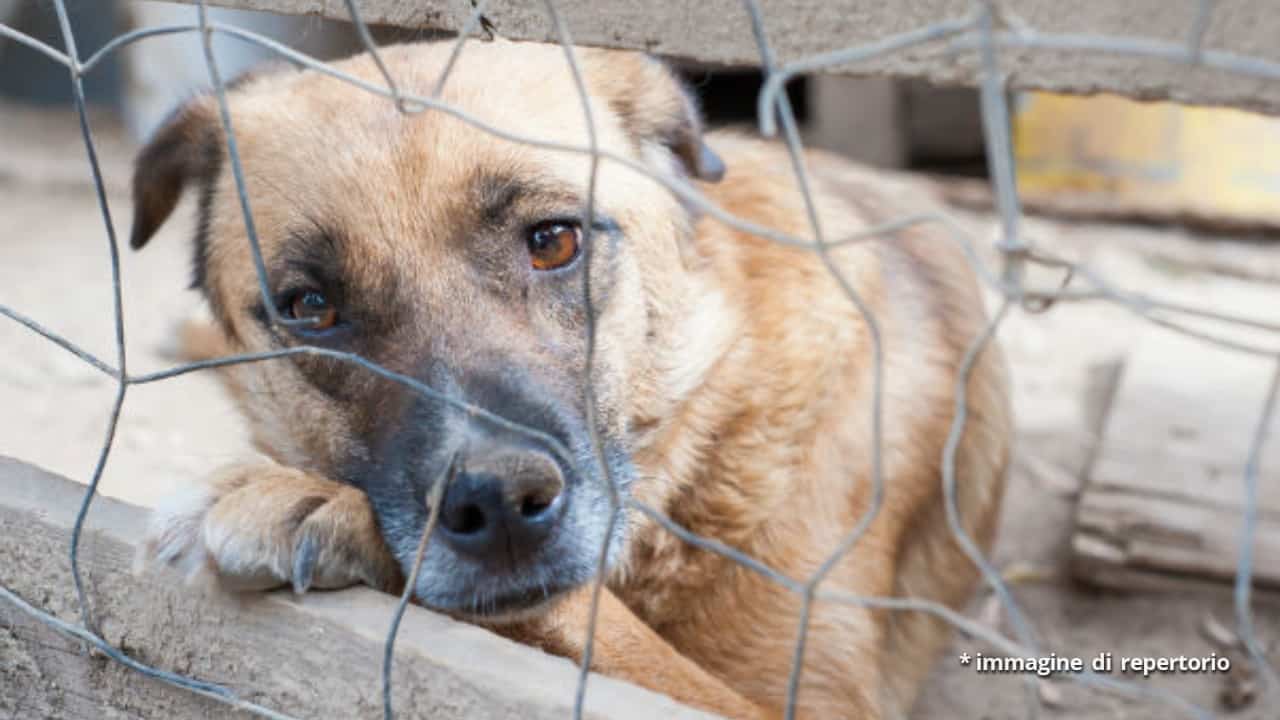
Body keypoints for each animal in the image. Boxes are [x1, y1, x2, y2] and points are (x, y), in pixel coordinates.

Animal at [129, 40, 1008, 717]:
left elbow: (599, 622)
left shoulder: (805, 703)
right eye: (311, 306)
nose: (498, 503)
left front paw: (313, 501)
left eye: (553, 241)